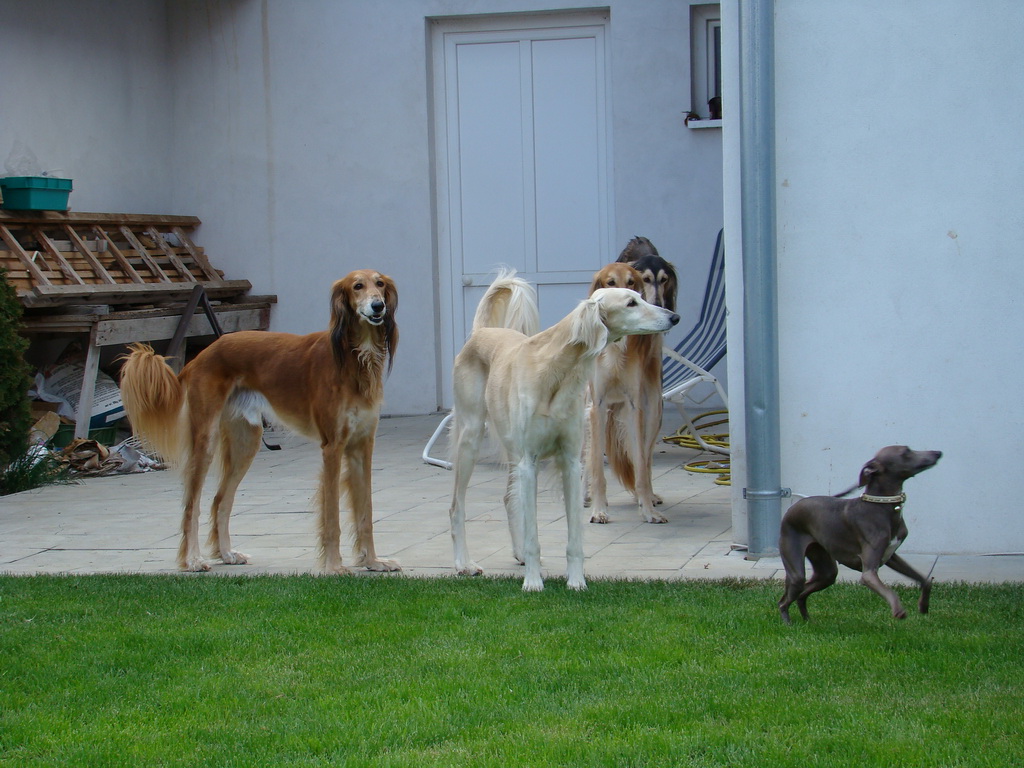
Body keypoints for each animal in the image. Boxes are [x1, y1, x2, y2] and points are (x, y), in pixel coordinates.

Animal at [121, 268, 401, 573]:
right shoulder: (333, 447)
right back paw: (193, 559)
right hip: (206, 441)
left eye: (380, 284)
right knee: (191, 505)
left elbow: (366, 512)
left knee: (221, 500)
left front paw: (372, 561)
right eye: (357, 286)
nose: (378, 306)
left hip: (247, 441)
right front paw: (333, 566)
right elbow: (332, 516)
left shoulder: (363, 445)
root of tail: (200, 356)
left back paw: (226, 553)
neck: (353, 356)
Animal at [450, 274, 679, 593]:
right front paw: (533, 582)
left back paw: (518, 554)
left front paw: (576, 581)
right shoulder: (529, 462)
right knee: (456, 506)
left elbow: (575, 537)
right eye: (631, 303)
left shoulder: (570, 461)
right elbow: (534, 534)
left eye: (639, 297)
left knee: (508, 499)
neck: (557, 368)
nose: (674, 317)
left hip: (512, 450)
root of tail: (481, 331)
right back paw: (464, 563)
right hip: (471, 438)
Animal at [589, 239, 675, 524]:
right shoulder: (597, 405)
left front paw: (648, 509)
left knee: (645, 462)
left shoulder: (634, 406)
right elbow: (596, 468)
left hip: (653, 410)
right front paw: (598, 509)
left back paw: (647, 496)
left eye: (633, 283)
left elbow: (640, 466)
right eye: (610, 282)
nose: (673, 316)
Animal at [774, 448, 942, 622]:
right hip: (795, 567)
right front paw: (898, 610)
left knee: (803, 594)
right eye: (906, 452)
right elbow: (885, 588)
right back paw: (788, 623)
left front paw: (923, 606)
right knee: (784, 600)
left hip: (825, 569)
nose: (938, 453)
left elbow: (926, 580)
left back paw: (807, 620)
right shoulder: (869, 572)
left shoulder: (891, 556)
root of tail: (792, 508)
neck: (881, 507)